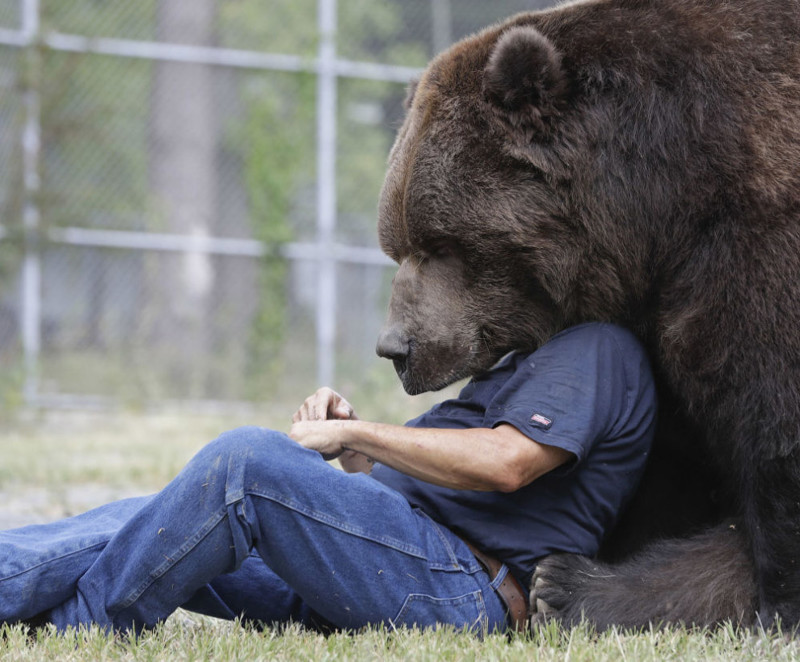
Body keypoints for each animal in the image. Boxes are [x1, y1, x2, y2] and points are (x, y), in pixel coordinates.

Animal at [374, 0, 800, 632]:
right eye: (395, 246)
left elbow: (774, 430)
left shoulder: (754, 242)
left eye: (441, 245)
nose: (397, 347)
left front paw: (778, 605)